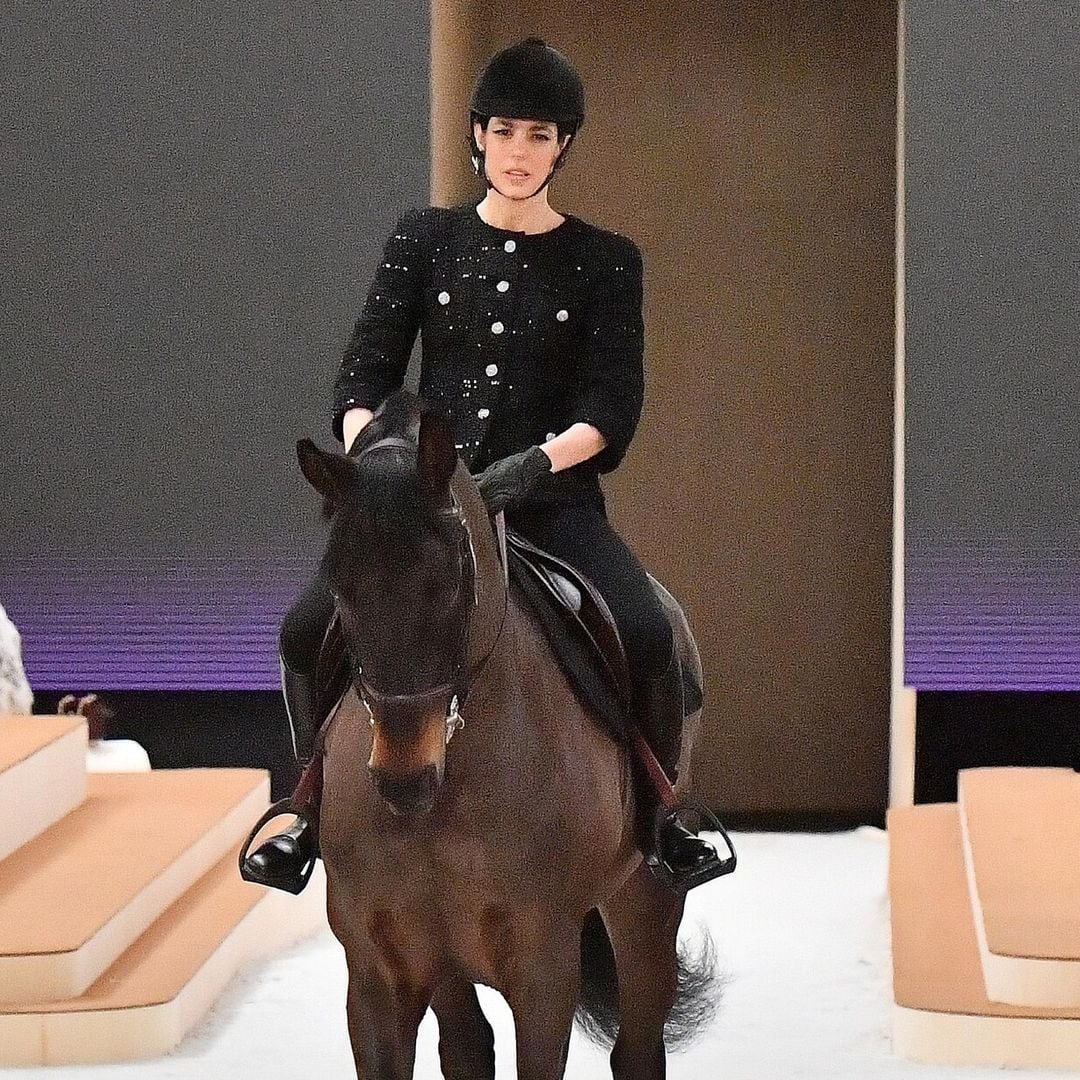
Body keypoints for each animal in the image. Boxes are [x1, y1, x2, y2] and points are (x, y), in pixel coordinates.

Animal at [298, 393, 717, 1075]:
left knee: (637, 1045)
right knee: (467, 1045)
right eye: (336, 579)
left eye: (454, 576)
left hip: (646, 895)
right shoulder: (376, 978)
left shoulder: (543, 973)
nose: (403, 777)